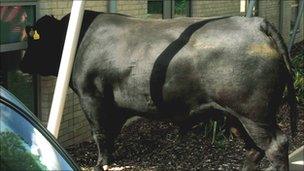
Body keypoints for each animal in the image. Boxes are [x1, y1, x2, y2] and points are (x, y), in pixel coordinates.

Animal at [20, 11, 298, 171]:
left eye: (33, 40)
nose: (22, 63)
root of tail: (256, 23)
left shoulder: (91, 96)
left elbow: (100, 133)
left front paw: (101, 163)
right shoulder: (116, 105)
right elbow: (111, 133)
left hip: (254, 113)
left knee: (276, 146)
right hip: (234, 114)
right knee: (253, 149)